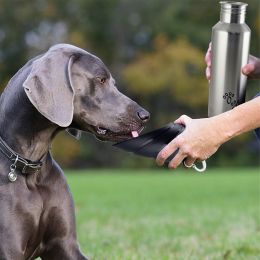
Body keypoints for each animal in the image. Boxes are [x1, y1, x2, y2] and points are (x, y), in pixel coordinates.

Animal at [0, 43, 150, 258]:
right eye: (101, 79)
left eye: (113, 82)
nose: (145, 115)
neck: (31, 168)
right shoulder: (9, 249)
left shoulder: (64, 245)